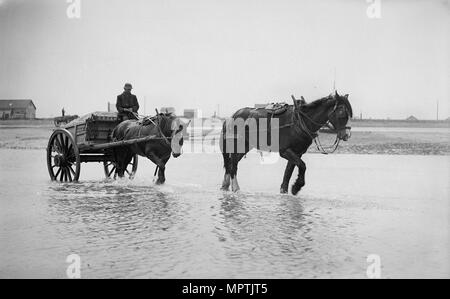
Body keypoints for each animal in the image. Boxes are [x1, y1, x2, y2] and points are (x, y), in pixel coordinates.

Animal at [220, 90, 354, 196]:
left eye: (350, 114)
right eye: (342, 113)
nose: (346, 135)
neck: (300, 121)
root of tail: (231, 117)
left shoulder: (297, 152)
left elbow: (289, 172)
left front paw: (284, 191)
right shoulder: (285, 151)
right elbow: (302, 166)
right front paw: (296, 187)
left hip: (245, 146)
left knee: (231, 164)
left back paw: (225, 186)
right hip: (237, 145)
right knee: (233, 164)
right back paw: (235, 188)